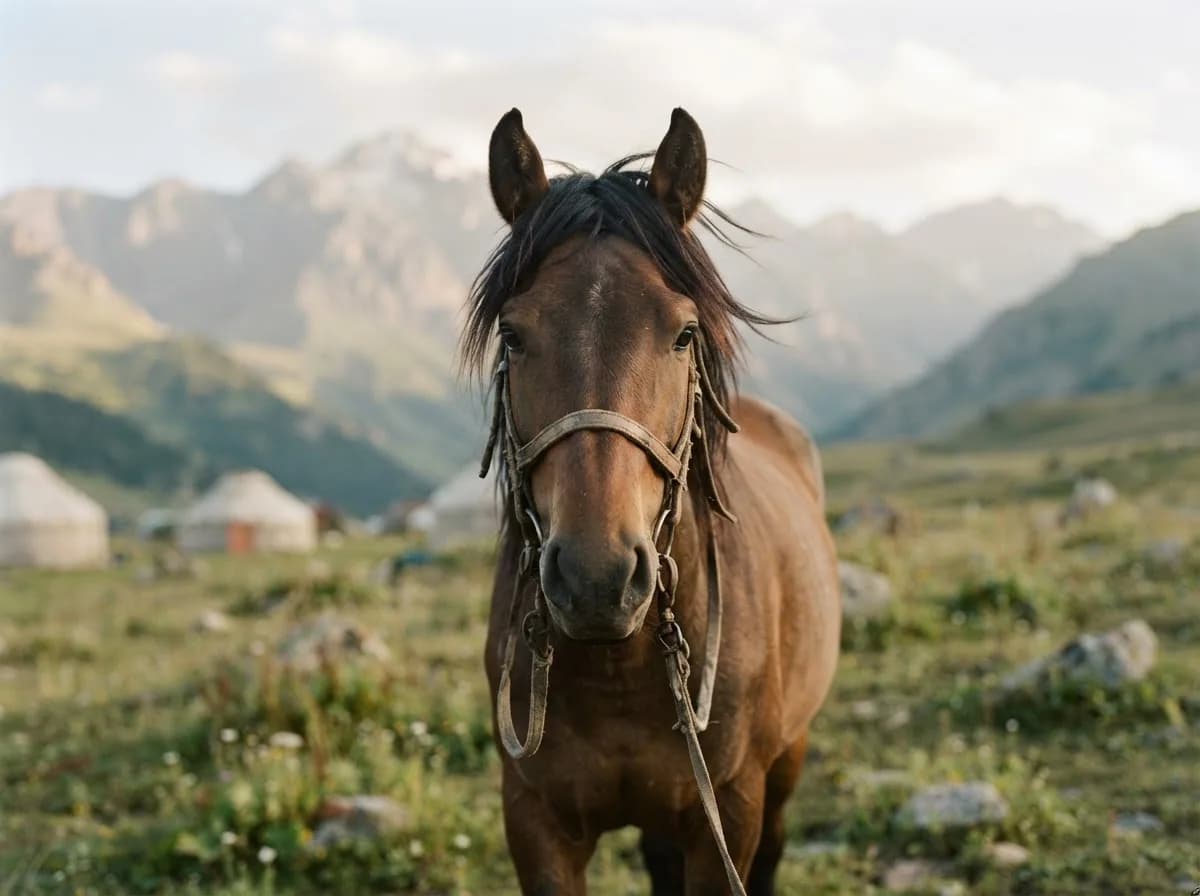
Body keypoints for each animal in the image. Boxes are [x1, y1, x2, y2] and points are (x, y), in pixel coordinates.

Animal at [463, 107, 841, 895]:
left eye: (684, 332)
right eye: (514, 334)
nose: (596, 579)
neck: (620, 669)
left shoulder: (729, 810)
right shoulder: (535, 821)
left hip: (787, 759)